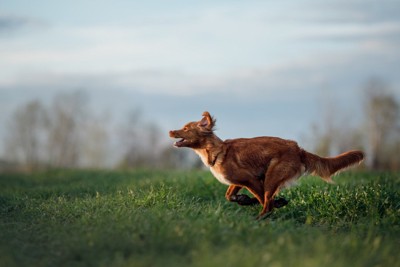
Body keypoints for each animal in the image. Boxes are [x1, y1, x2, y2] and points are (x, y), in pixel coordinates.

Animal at [170, 112, 364, 219]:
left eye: (186, 129)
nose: (171, 131)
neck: (217, 151)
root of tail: (298, 149)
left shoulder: (251, 179)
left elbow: (261, 198)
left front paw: (254, 201)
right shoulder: (239, 181)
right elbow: (229, 195)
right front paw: (244, 199)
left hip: (272, 176)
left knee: (267, 206)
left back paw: (259, 219)